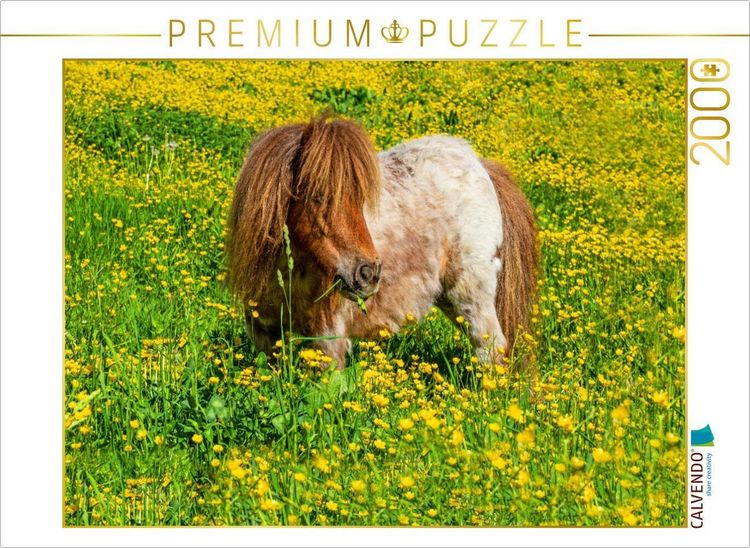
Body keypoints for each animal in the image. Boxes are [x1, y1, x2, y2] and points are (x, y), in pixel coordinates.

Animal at [227, 116, 538, 369]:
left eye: (360, 199)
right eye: (317, 197)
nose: (368, 274)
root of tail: (480, 165)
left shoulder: (328, 340)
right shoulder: (266, 336)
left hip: (471, 297)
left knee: (492, 352)